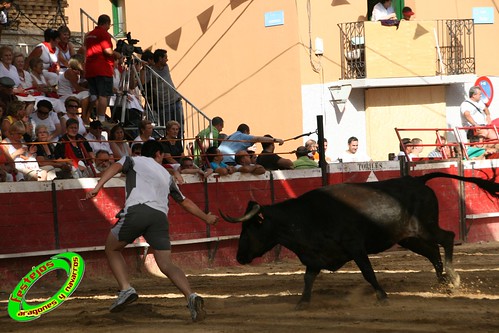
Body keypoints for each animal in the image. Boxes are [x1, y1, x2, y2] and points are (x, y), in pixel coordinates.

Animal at [223, 172, 499, 308]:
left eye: (247, 230)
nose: (239, 257)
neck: (305, 216)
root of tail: (417, 179)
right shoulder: (315, 255)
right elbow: (308, 278)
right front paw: (302, 302)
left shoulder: (355, 247)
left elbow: (368, 272)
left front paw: (382, 296)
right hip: (408, 237)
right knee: (432, 252)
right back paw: (443, 284)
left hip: (425, 228)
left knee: (447, 238)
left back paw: (453, 278)